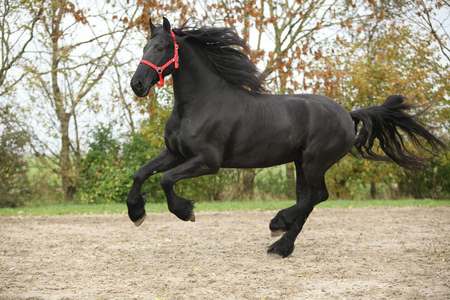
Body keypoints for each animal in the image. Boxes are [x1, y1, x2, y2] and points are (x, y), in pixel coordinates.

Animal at [128, 17, 448, 258]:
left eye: (160, 47)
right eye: (145, 46)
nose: (137, 84)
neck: (200, 104)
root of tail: (347, 114)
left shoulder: (207, 161)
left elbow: (165, 179)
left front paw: (186, 212)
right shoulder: (175, 153)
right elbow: (141, 173)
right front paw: (136, 213)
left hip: (315, 162)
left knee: (318, 196)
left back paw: (278, 223)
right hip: (300, 163)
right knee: (308, 200)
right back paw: (282, 245)